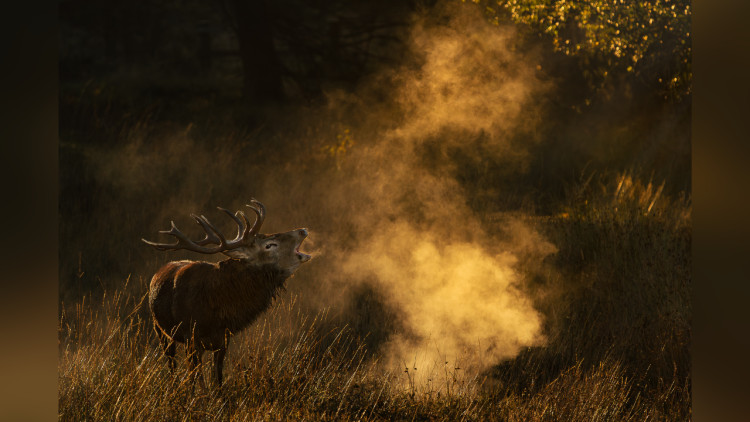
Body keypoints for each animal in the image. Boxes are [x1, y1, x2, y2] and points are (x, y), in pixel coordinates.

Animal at [142, 199, 311, 387]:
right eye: (269, 245)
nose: (302, 230)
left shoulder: (223, 339)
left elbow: (218, 380)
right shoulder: (190, 337)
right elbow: (196, 380)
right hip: (160, 329)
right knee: (172, 366)